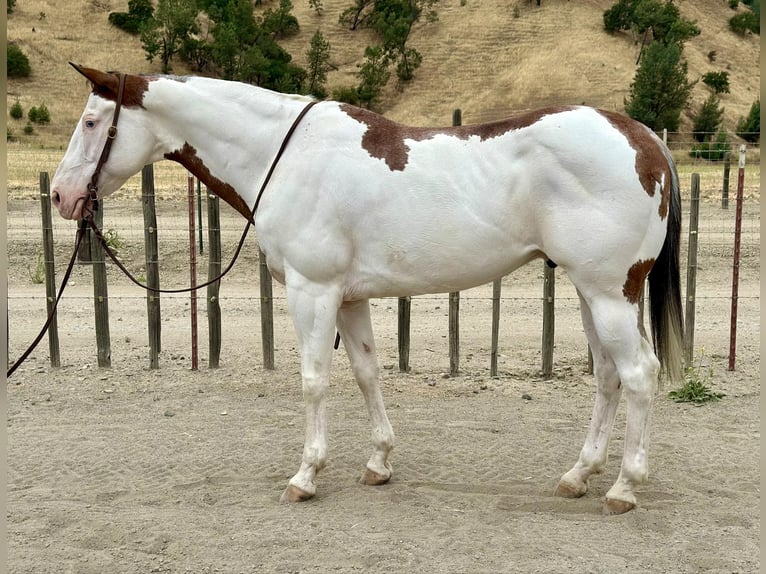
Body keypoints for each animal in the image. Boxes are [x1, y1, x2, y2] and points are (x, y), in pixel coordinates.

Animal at [51, 64, 684, 515]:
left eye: (90, 122)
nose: (60, 196)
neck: (285, 154)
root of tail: (644, 139)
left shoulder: (312, 291)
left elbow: (313, 382)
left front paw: (305, 476)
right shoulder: (348, 298)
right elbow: (366, 373)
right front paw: (379, 463)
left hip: (609, 293)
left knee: (638, 376)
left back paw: (624, 487)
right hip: (590, 294)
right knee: (607, 378)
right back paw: (578, 475)